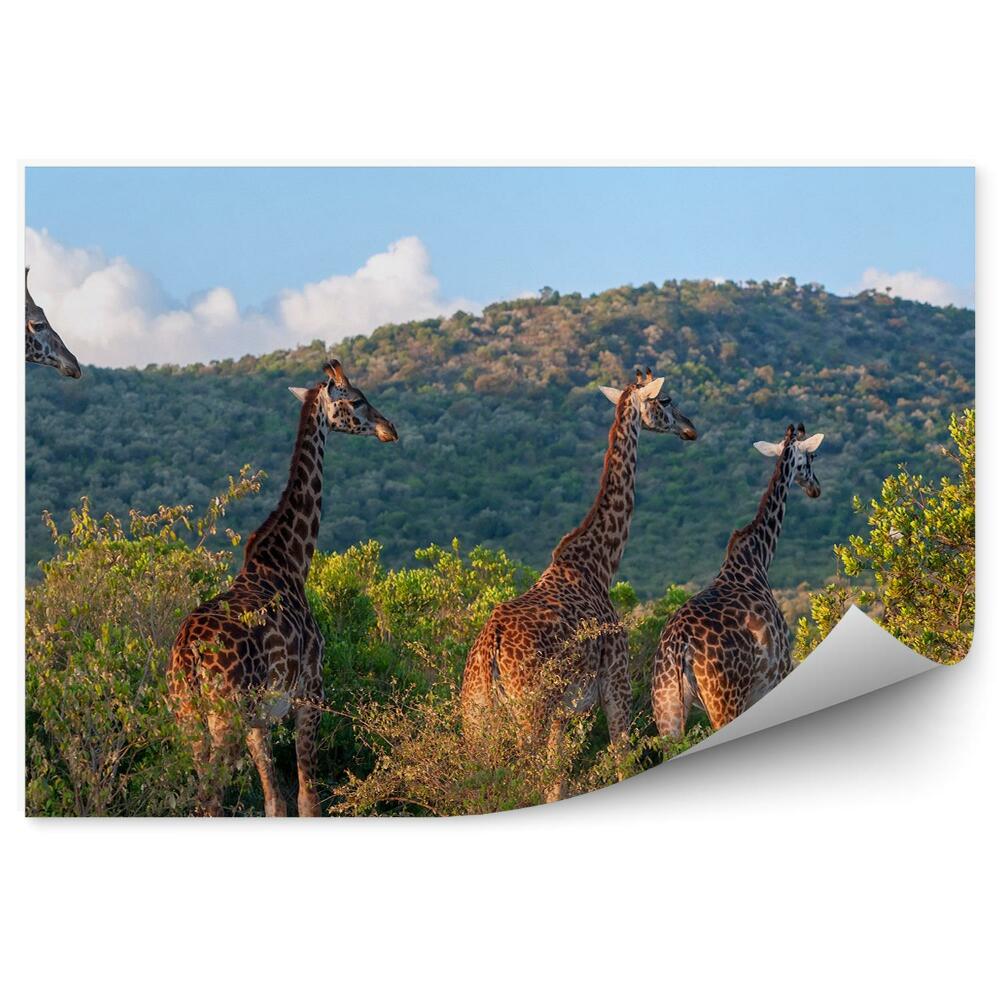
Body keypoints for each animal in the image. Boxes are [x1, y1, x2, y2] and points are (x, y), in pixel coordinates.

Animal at [168, 360, 398, 817]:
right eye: (357, 400)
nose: (390, 428)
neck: (291, 562)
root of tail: (187, 654)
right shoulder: (310, 694)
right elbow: (308, 799)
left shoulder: (260, 719)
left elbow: (274, 800)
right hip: (224, 715)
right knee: (212, 796)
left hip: (188, 715)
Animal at [461, 368, 697, 800]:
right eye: (667, 400)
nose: (690, 429)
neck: (599, 564)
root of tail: (489, 651)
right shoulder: (615, 683)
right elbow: (621, 760)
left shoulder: (563, 713)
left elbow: (559, 784)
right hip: (528, 712)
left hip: (476, 716)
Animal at [651, 422, 824, 738]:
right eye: (812, 456)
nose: (815, 488)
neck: (758, 557)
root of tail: (679, 647)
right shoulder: (777, 676)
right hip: (724, 700)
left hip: (666, 708)